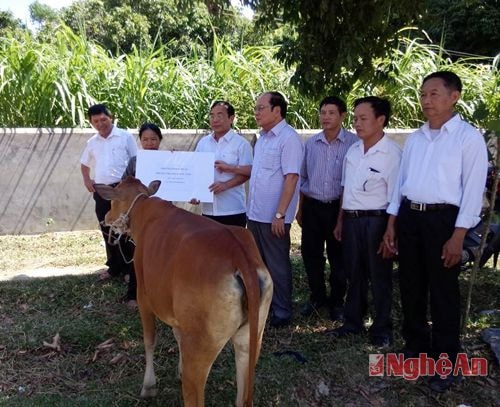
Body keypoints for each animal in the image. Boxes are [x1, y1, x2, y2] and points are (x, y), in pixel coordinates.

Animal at [94, 178, 274, 407]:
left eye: (113, 198)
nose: (106, 218)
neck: (143, 211)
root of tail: (239, 256)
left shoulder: (144, 297)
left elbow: (149, 340)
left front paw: (148, 386)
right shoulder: (178, 317)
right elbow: (176, 335)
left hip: (199, 349)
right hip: (251, 339)